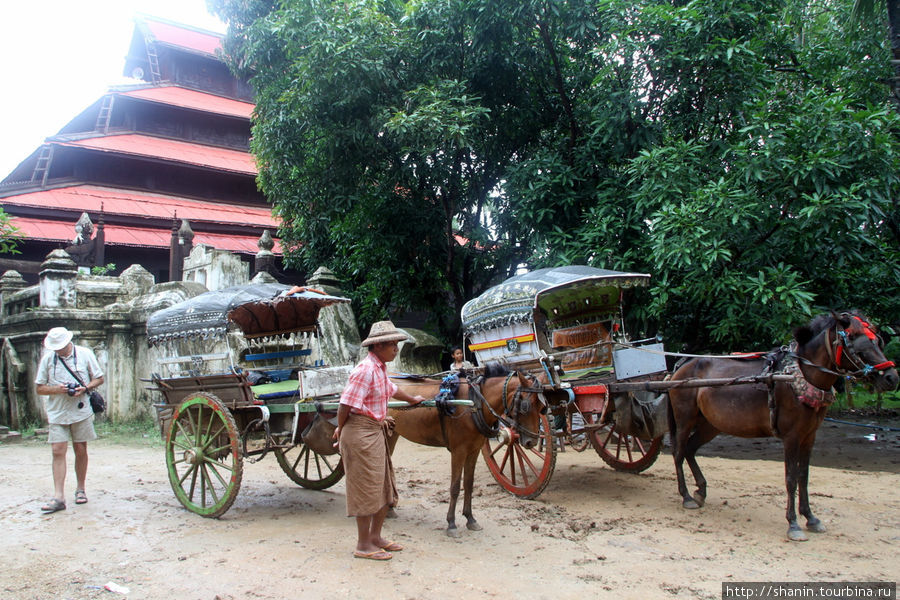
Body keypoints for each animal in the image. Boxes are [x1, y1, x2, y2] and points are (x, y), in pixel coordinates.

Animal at [384, 364, 544, 536]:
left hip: (392, 433)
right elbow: (455, 487)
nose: (532, 441)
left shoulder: (474, 450)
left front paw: (470, 518)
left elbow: (468, 484)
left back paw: (389, 508)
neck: (474, 404)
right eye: (525, 406)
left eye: (543, 407)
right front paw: (451, 523)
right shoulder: (458, 451)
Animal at [664, 312, 896, 540]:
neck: (799, 376)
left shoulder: (809, 436)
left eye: (879, 342)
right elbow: (791, 478)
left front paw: (811, 518)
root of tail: (681, 365)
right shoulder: (791, 437)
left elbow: (804, 476)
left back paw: (701, 491)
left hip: (710, 424)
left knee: (690, 449)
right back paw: (686, 496)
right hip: (685, 419)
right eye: (855, 344)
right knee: (678, 452)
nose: (892, 378)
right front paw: (793, 524)